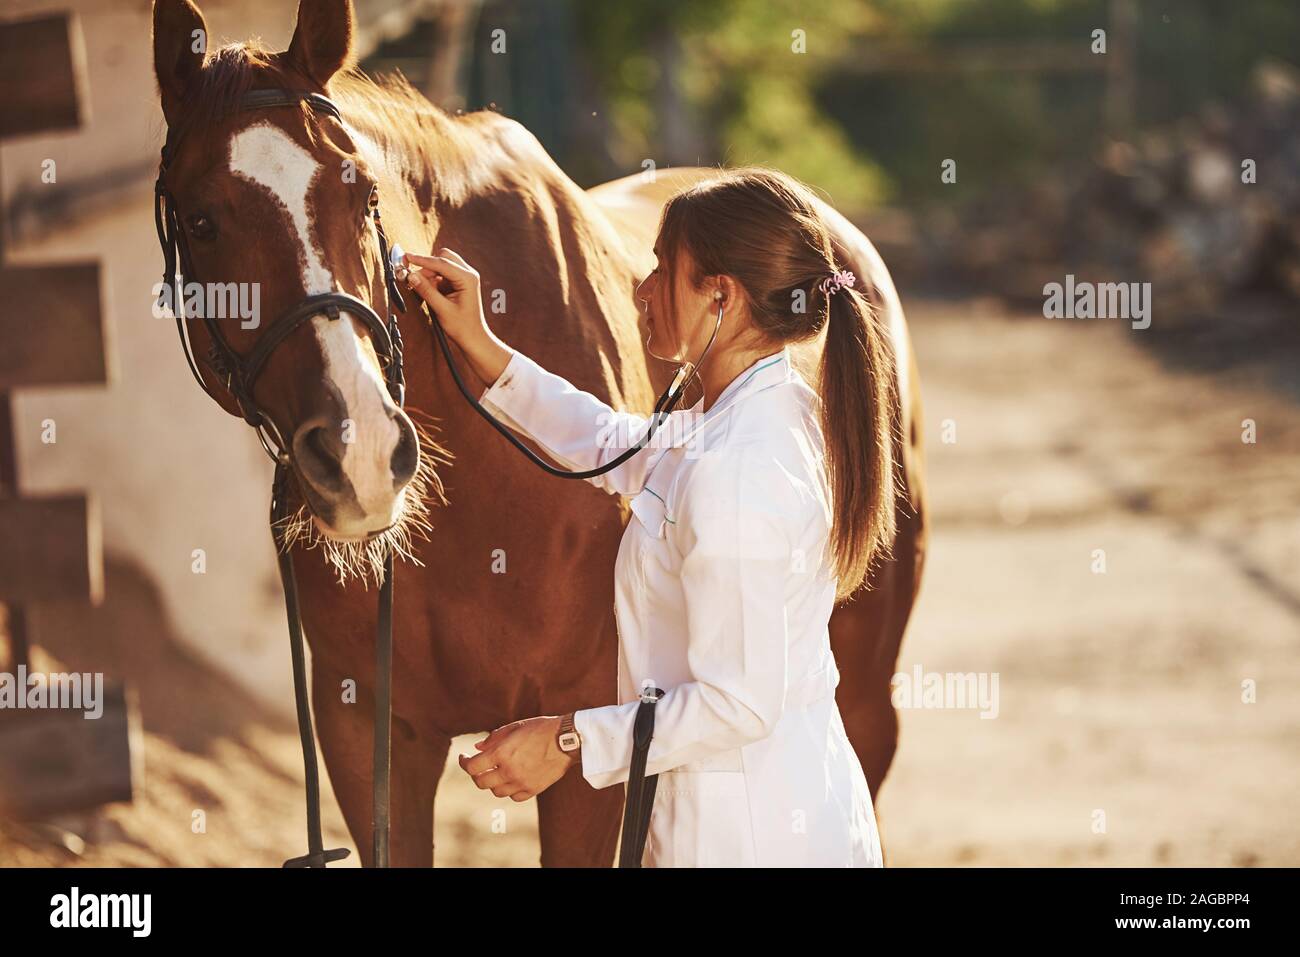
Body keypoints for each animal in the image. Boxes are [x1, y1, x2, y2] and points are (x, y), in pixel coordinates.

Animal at [151, 0, 927, 867]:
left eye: (362, 197)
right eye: (202, 220)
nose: (362, 456)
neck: (478, 500)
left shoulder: (592, 748)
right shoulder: (368, 737)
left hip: (866, 698)